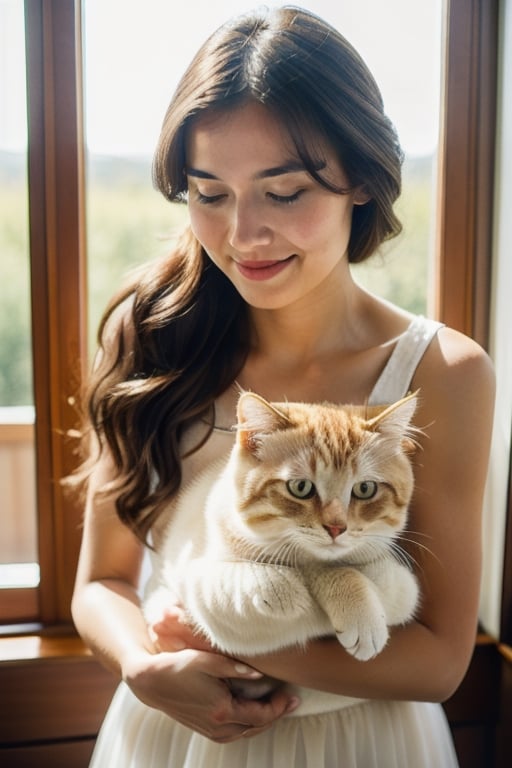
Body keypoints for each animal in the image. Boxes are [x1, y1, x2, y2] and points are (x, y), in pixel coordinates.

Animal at [144, 392, 420, 668]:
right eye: (300, 487)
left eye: (365, 489)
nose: (336, 527)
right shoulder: (204, 587)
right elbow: (289, 579)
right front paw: (289, 589)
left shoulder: (401, 585)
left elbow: (340, 569)